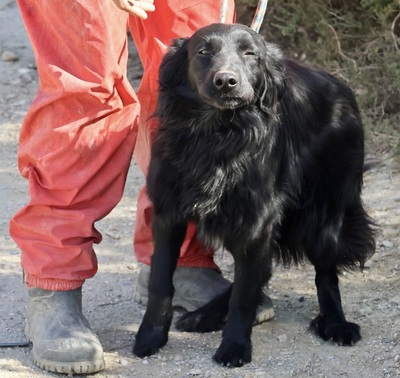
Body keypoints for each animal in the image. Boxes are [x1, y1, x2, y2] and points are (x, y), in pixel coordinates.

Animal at [134, 22, 376, 366]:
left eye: (250, 54)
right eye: (203, 51)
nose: (226, 81)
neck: (218, 134)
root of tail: (340, 86)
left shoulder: (256, 221)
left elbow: (244, 295)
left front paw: (235, 345)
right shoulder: (168, 212)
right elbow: (160, 280)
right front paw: (150, 336)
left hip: (326, 211)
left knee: (324, 272)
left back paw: (335, 323)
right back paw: (206, 314)